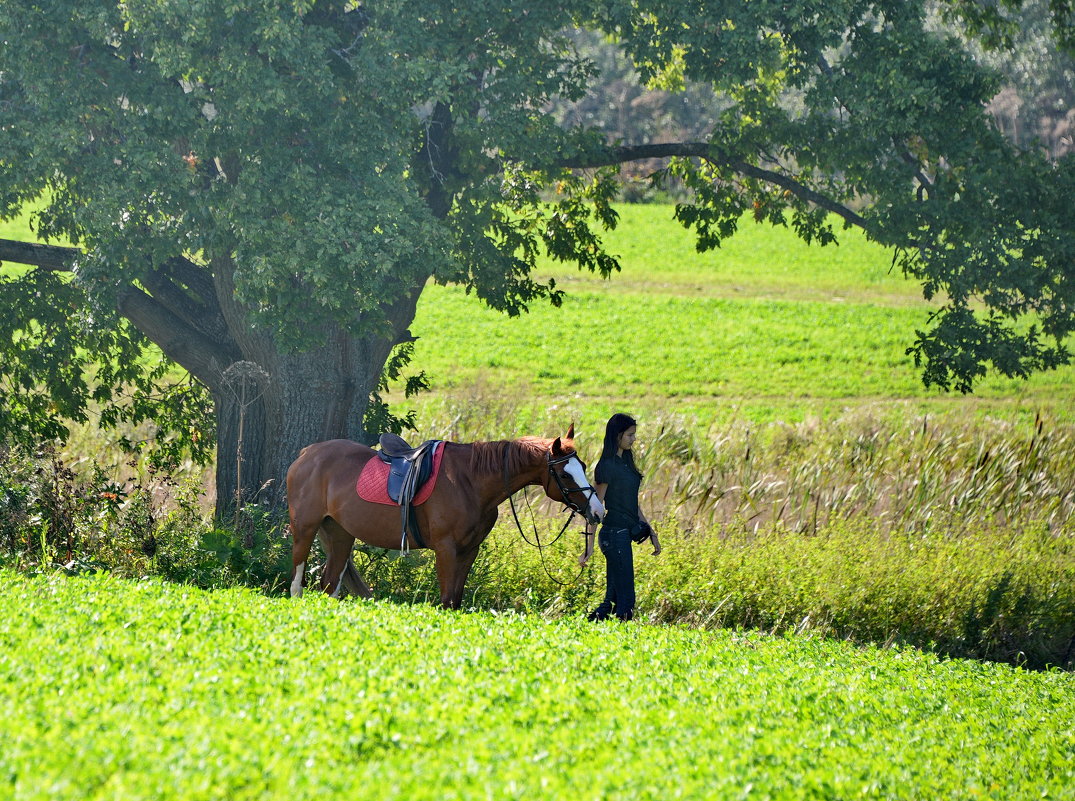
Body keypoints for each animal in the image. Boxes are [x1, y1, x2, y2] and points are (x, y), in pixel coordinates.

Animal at [285, 425, 606, 606]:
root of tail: (306, 454)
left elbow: (455, 600)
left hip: (340, 534)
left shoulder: (469, 550)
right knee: (298, 580)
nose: (598, 511)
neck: (470, 480)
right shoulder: (446, 549)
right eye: (564, 473)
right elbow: (445, 599)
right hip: (305, 528)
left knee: (330, 583)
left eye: (583, 466)